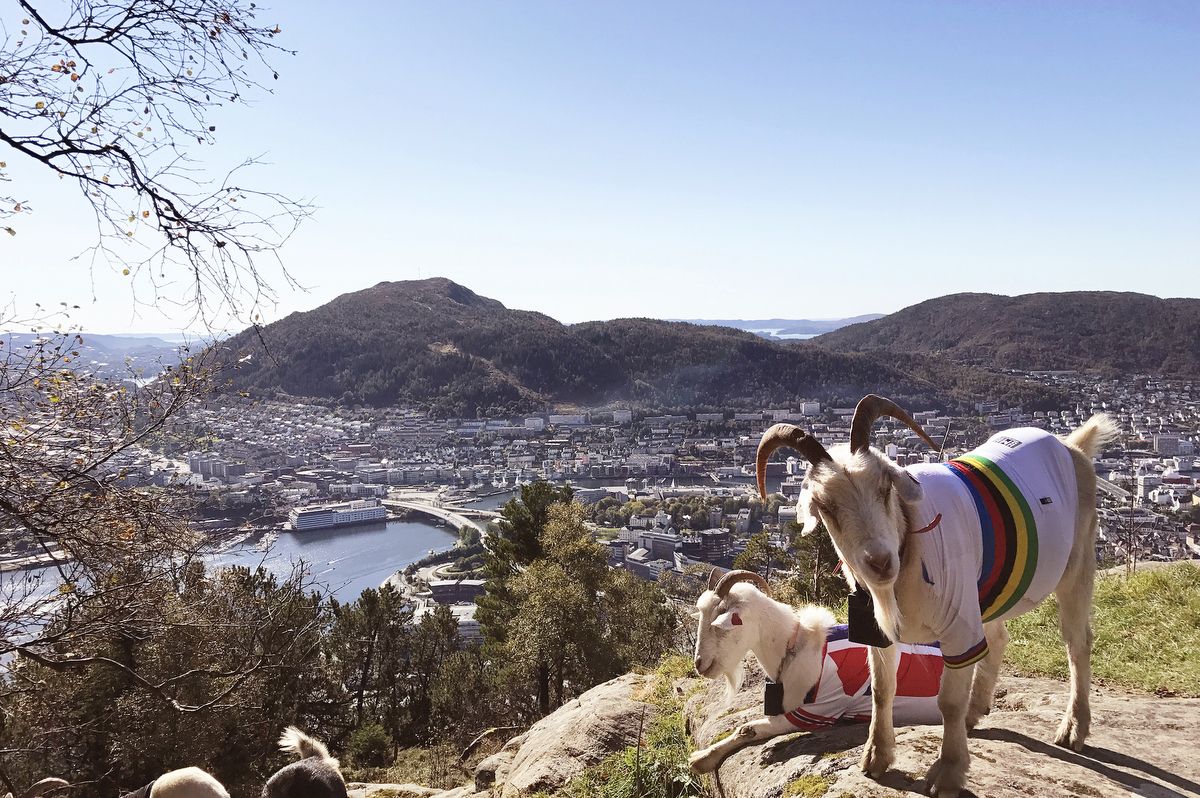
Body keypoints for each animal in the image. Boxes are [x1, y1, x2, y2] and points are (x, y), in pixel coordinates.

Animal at [689, 569, 943, 773]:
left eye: (720, 625)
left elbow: (746, 728)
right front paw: (702, 755)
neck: (797, 648)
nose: (699, 664)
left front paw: (701, 759)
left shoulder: (819, 711)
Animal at [756, 395, 1118, 797]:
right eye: (825, 506)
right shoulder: (878, 631)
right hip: (986, 592)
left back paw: (1073, 729)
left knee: (1077, 643)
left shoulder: (958, 626)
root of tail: (1072, 447)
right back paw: (976, 713)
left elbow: (948, 702)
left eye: (885, 487)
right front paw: (876, 758)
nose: (880, 562)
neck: (909, 540)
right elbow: (882, 689)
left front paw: (947, 772)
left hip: (1077, 564)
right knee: (998, 637)